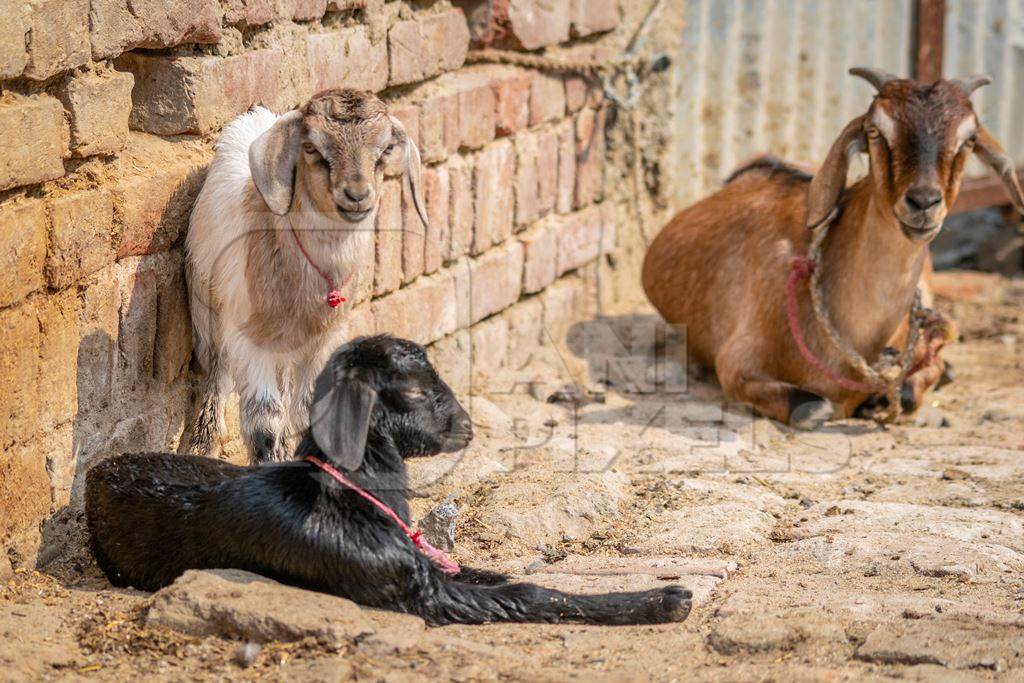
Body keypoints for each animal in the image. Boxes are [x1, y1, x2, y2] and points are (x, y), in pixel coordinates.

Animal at [86, 333, 696, 626]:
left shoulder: (421, 562)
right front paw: (667, 600)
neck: (347, 495)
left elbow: (488, 574)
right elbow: (524, 595)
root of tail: (96, 470)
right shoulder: (414, 589)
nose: (468, 426)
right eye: (417, 390)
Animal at [188, 88, 428, 462]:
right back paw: (204, 445)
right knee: (218, 374)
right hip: (208, 308)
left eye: (384, 150)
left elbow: (308, 411)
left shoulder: (322, 340)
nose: (357, 196)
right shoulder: (249, 338)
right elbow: (264, 422)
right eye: (313, 148)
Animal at [643, 70, 1024, 432]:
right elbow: (814, 408)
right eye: (875, 130)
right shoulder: (736, 363)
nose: (923, 202)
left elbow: (907, 392)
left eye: (969, 139)